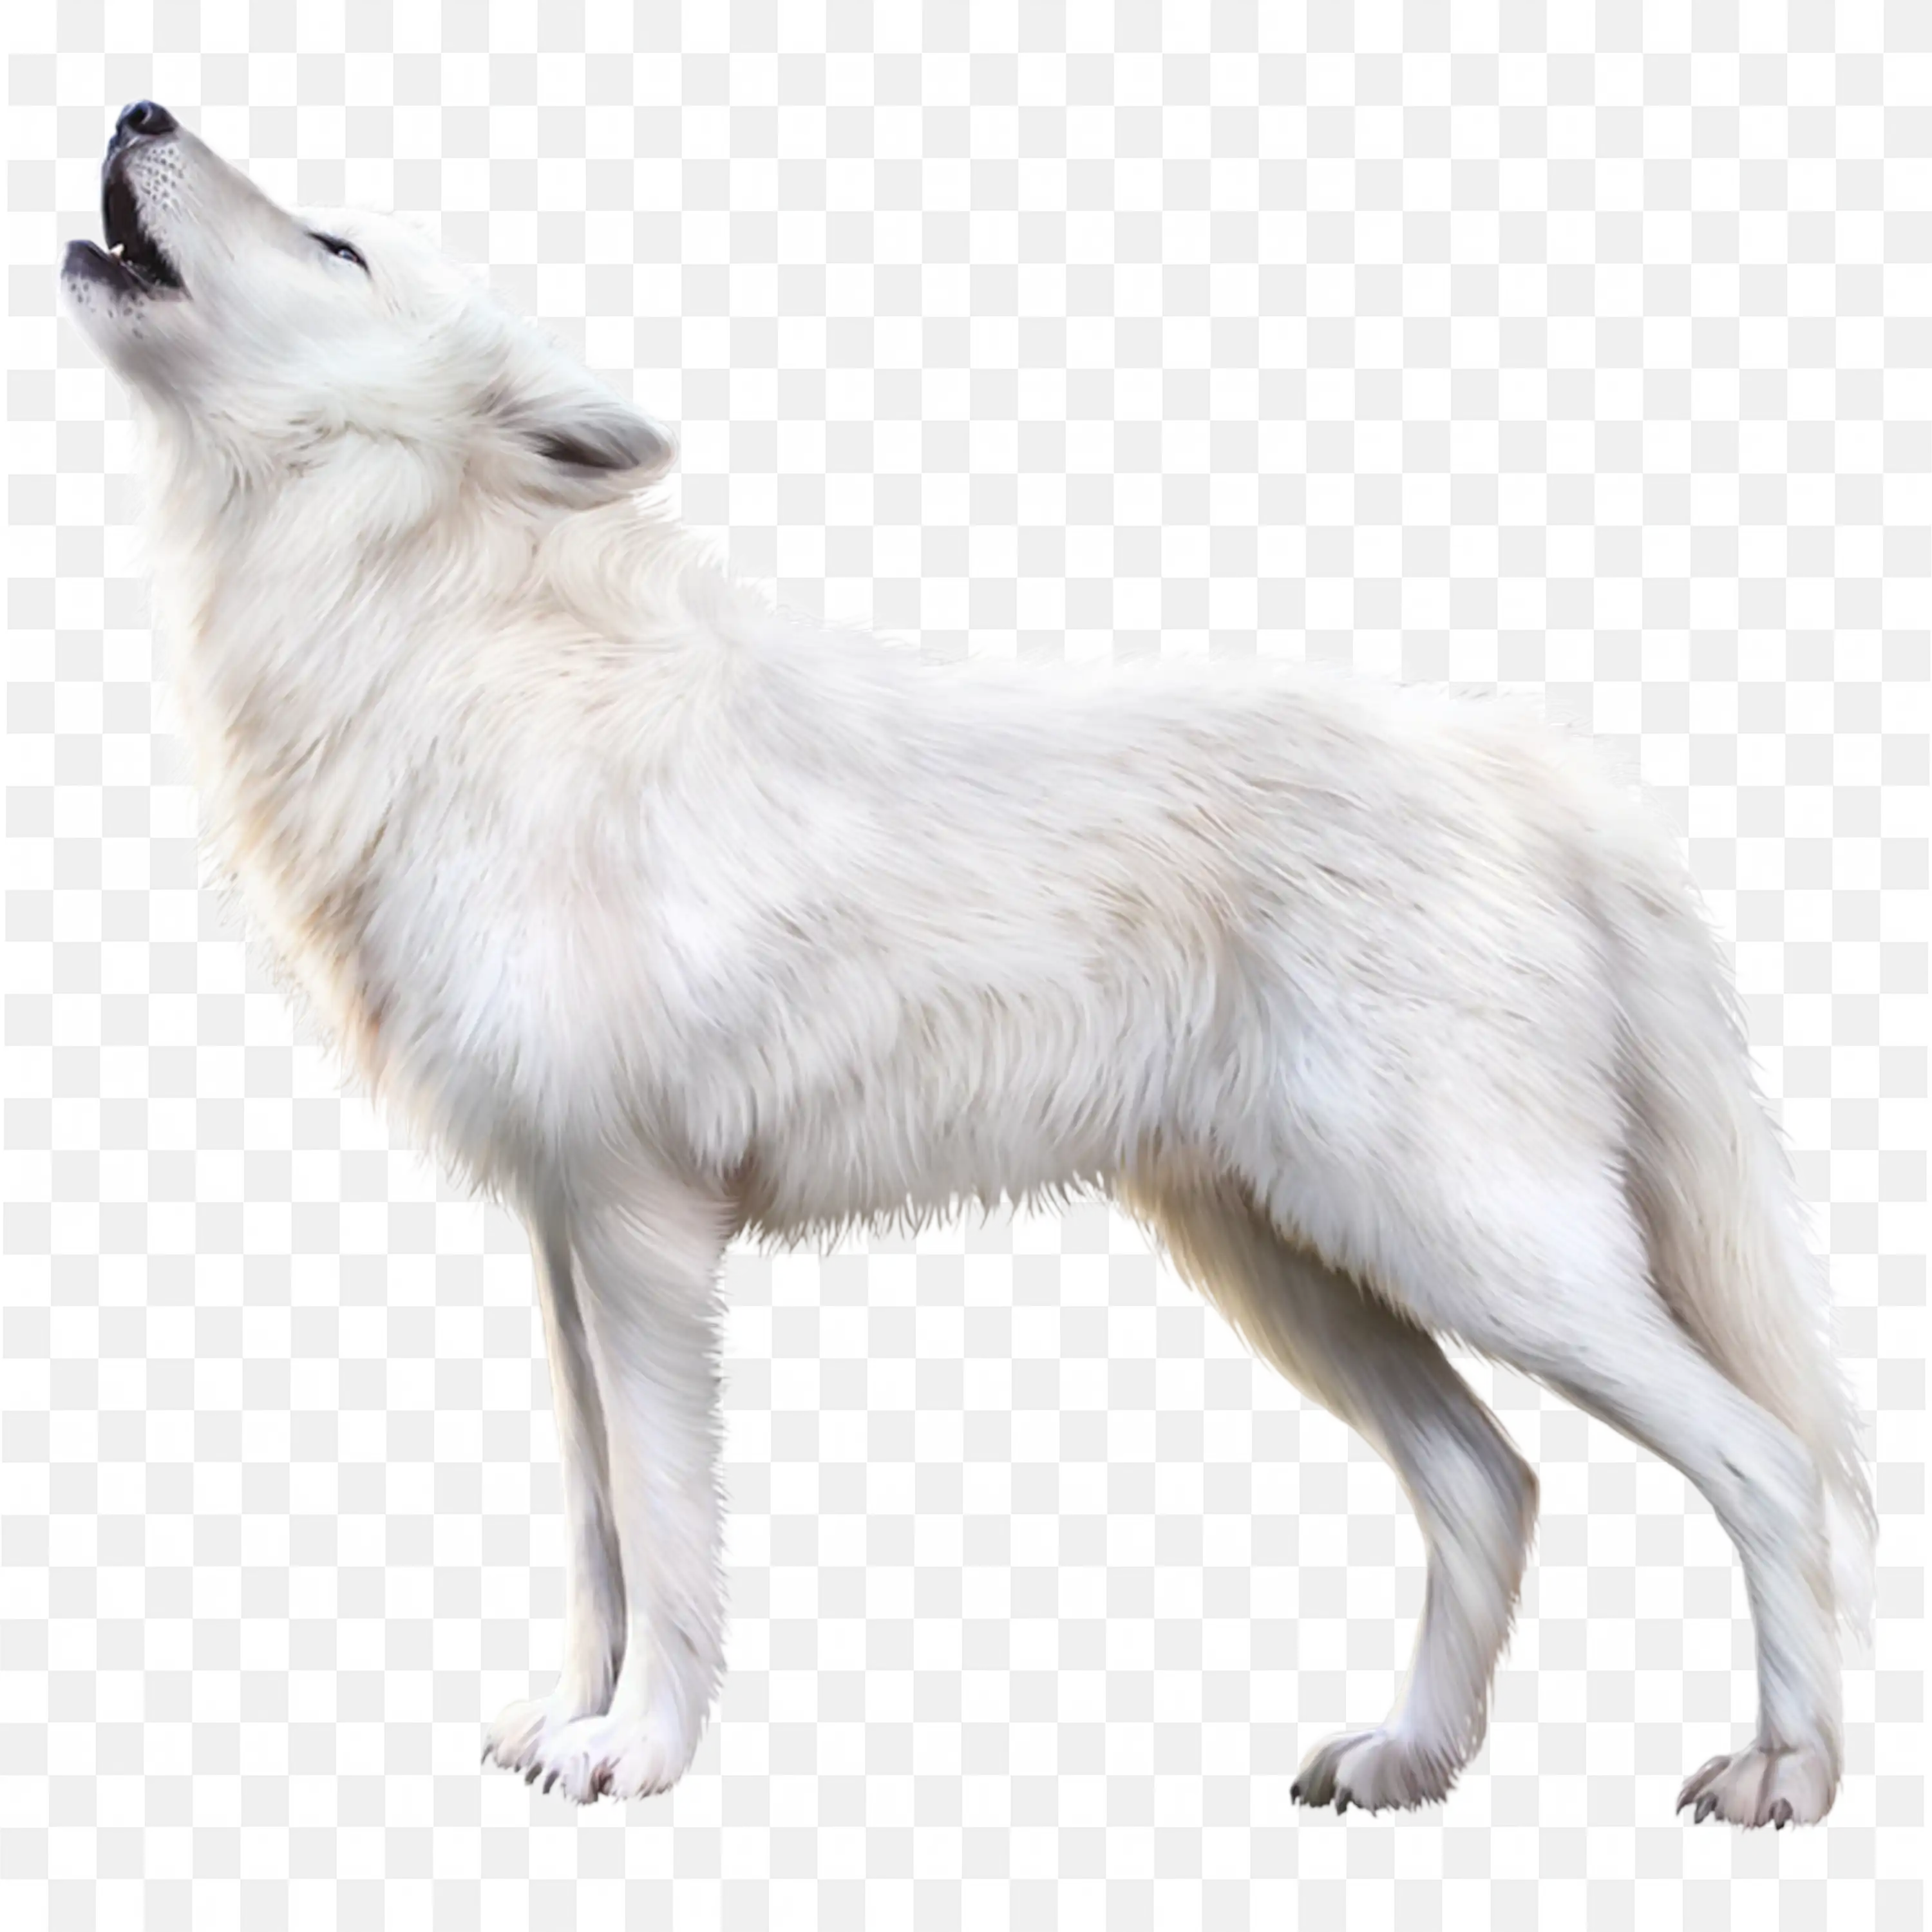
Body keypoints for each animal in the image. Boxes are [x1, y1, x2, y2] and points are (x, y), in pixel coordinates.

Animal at [55, 102, 1876, 1824]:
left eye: (334, 243)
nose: (139, 109)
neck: (447, 658)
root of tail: (1542, 769)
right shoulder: (560, 1227)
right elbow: (595, 1536)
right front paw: (569, 1724)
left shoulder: (642, 1222)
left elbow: (665, 1526)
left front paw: (637, 1752)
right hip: (1298, 1261)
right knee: (1495, 1482)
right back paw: (1408, 1762)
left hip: (1466, 1248)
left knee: (1762, 1453)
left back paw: (1782, 1773)